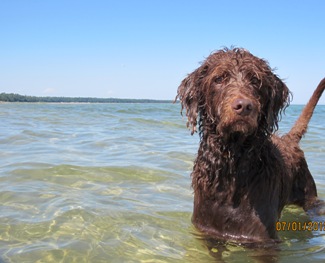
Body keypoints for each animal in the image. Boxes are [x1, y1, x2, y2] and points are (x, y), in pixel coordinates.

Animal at [176, 47, 324, 243]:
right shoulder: (208, 231)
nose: (244, 106)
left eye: (255, 80)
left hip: (309, 197)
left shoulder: (263, 239)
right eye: (219, 78)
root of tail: (289, 139)